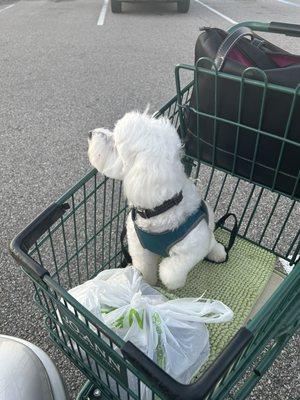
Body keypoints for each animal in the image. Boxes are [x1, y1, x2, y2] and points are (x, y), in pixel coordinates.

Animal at [88, 111, 226, 290]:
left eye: (116, 145)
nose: (90, 133)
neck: (162, 208)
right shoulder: (139, 247)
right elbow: (144, 267)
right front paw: (148, 283)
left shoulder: (193, 248)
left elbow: (169, 273)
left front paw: (174, 283)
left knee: (212, 242)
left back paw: (218, 252)